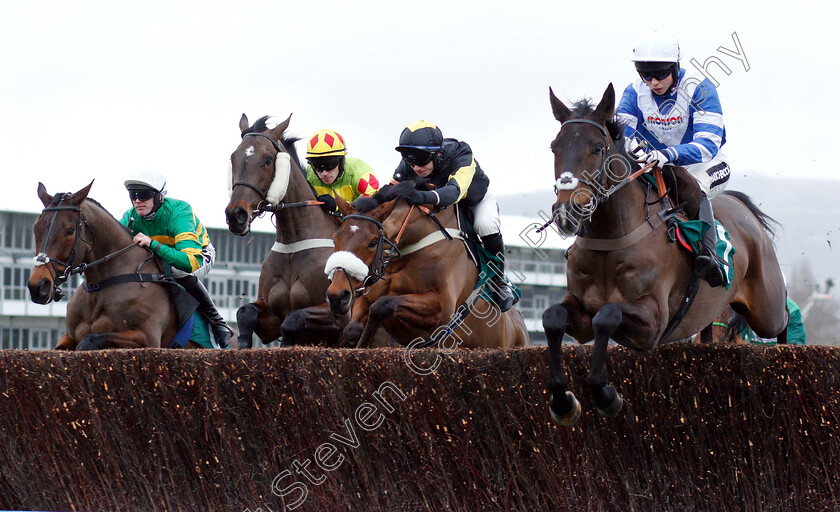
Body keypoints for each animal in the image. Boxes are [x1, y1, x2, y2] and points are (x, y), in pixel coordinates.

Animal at [28, 182, 185, 350]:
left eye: (70, 231)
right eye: (35, 229)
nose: (37, 286)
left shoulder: (149, 339)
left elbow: (90, 340)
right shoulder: (69, 336)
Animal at [225, 114, 392, 350]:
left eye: (268, 160)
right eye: (233, 157)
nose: (235, 215)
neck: (293, 243)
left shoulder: (338, 316)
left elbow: (292, 320)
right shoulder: (269, 318)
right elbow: (245, 312)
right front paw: (241, 343)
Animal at [324, 185, 528, 352]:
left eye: (373, 242)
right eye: (335, 238)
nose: (337, 295)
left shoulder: (441, 309)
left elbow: (382, 305)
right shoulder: (367, 292)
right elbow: (353, 328)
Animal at [540, 84, 792, 426]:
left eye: (597, 147)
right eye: (555, 147)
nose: (568, 212)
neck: (612, 240)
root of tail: (743, 209)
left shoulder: (654, 320)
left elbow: (607, 315)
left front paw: (605, 395)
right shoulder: (580, 315)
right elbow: (553, 317)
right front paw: (563, 400)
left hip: (766, 309)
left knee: (783, 319)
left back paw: (787, 360)